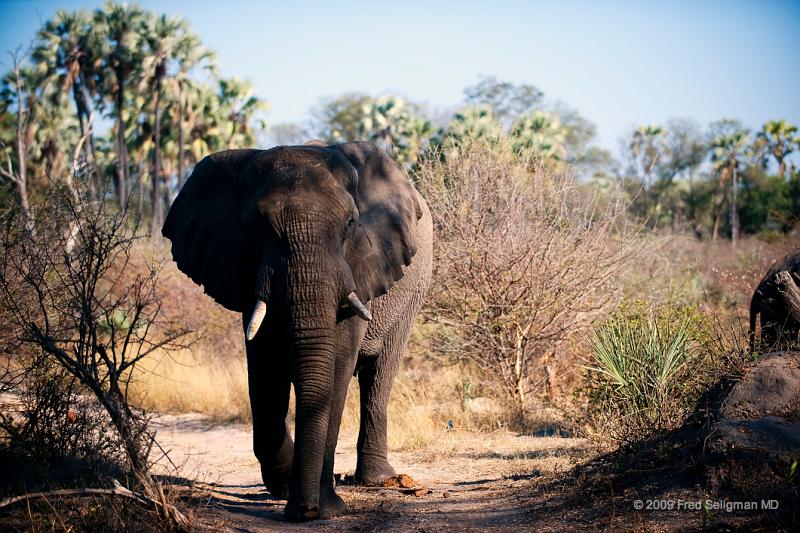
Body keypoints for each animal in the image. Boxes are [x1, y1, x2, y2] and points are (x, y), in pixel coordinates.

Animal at [161, 141, 432, 520]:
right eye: (256, 227)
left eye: (351, 223)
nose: (305, 510)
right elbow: (264, 369)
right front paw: (289, 489)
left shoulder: (358, 270)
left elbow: (337, 366)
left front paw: (326, 509)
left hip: (412, 295)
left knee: (378, 374)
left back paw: (377, 480)